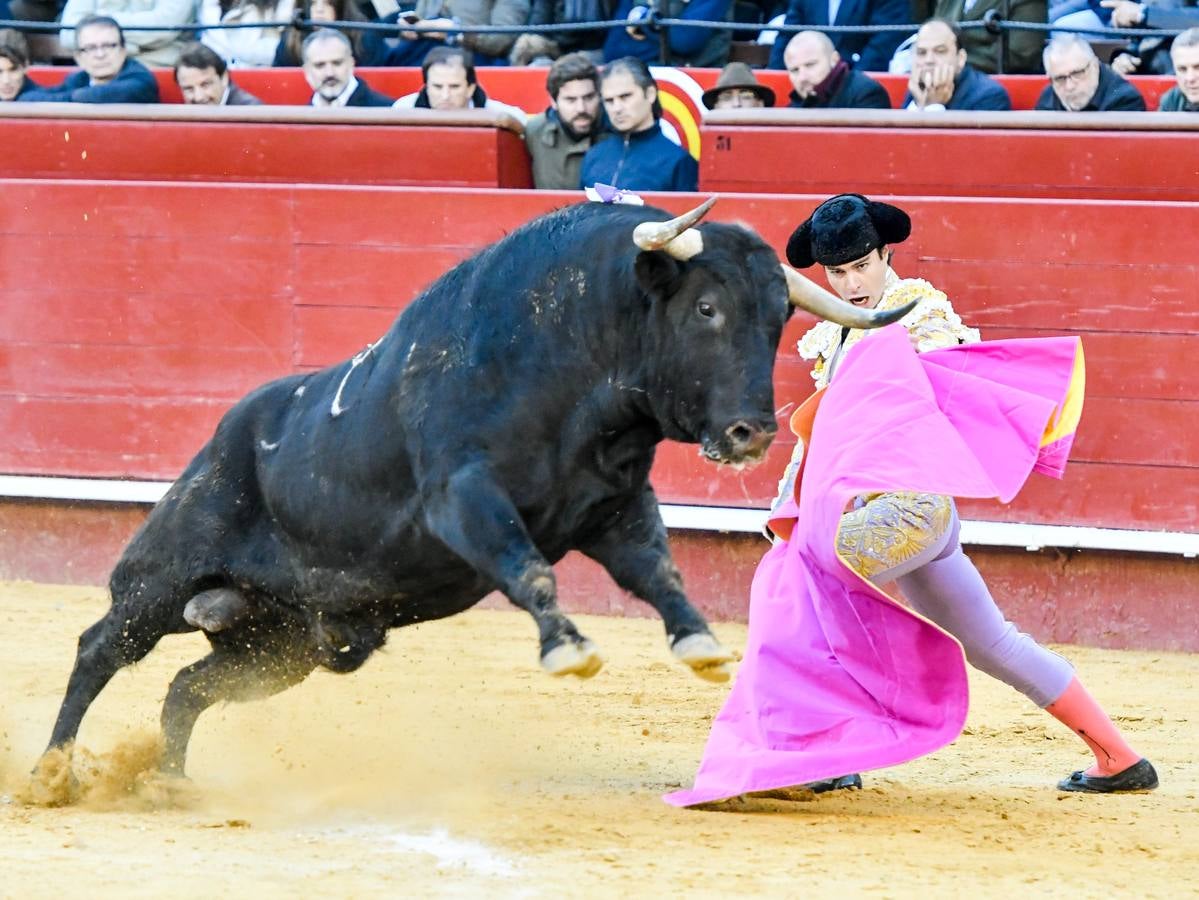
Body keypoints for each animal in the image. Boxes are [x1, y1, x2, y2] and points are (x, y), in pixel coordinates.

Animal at [42, 200, 901, 776]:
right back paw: (53, 770)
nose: (749, 432)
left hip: (283, 644)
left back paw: (170, 781)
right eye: (707, 308)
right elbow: (529, 568)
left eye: (777, 320)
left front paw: (700, 643)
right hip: (164, 574)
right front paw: (568, 650)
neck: (570, 359)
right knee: (99, 647)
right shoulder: (463, 499)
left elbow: (657, 571)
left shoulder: (613, 507)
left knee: (186, 686)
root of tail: (227, 433)